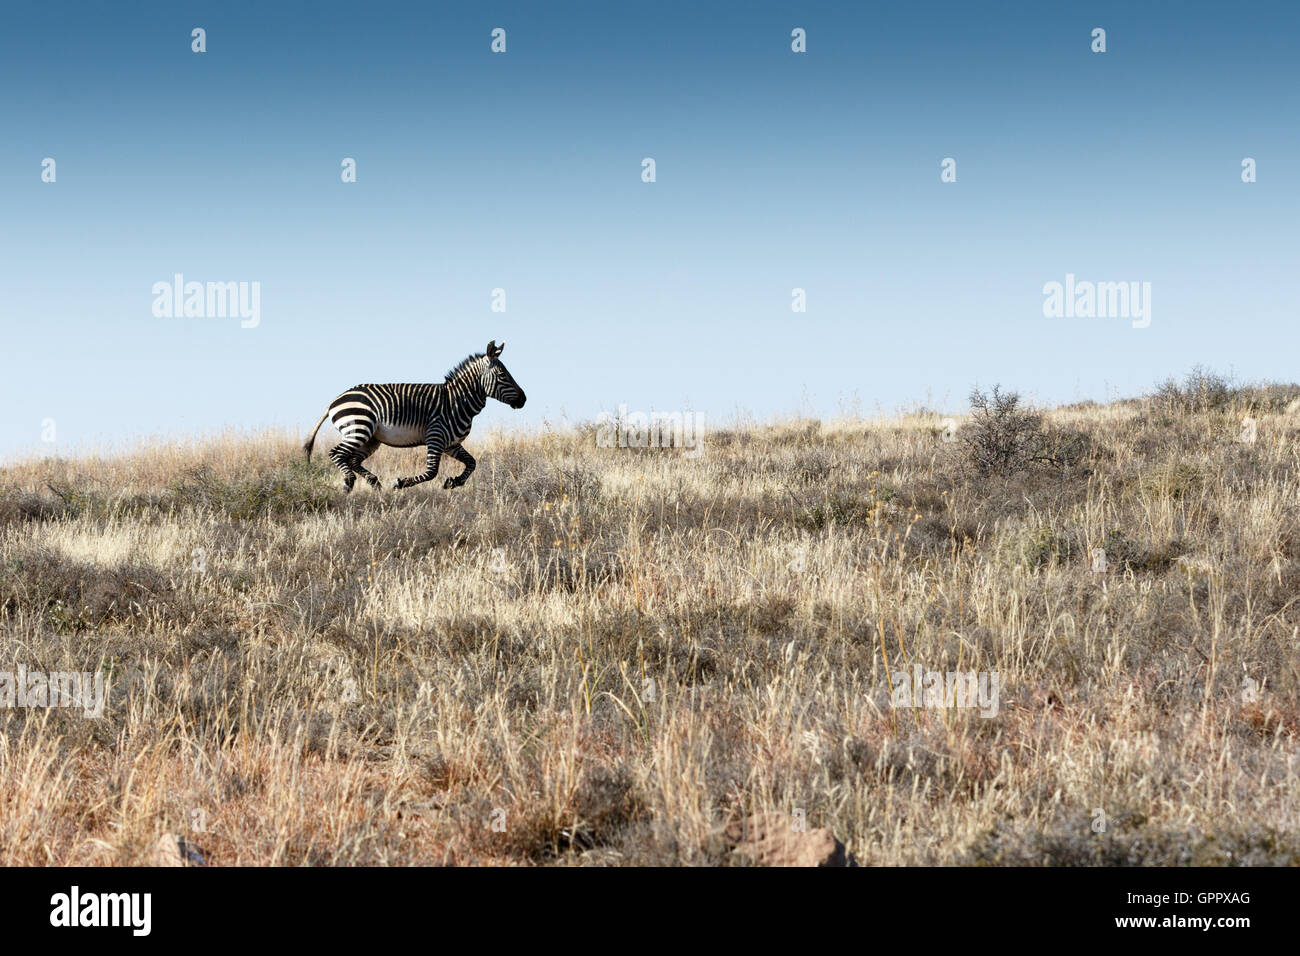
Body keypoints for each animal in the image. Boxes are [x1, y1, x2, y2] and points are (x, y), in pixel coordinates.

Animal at [301, 343, 525, 494]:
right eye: (503, 375)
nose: (524, 399)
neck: (457, 401)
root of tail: (334, 401)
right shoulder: (436, 436)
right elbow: (432, 471)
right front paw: (400, 483)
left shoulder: (451, 444)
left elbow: (472, 463)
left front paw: (454, 482)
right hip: (359, 429)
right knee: (336, 453)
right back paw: (348, 482)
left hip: (371, 438)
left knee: (353, 459)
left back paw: (374, 483)